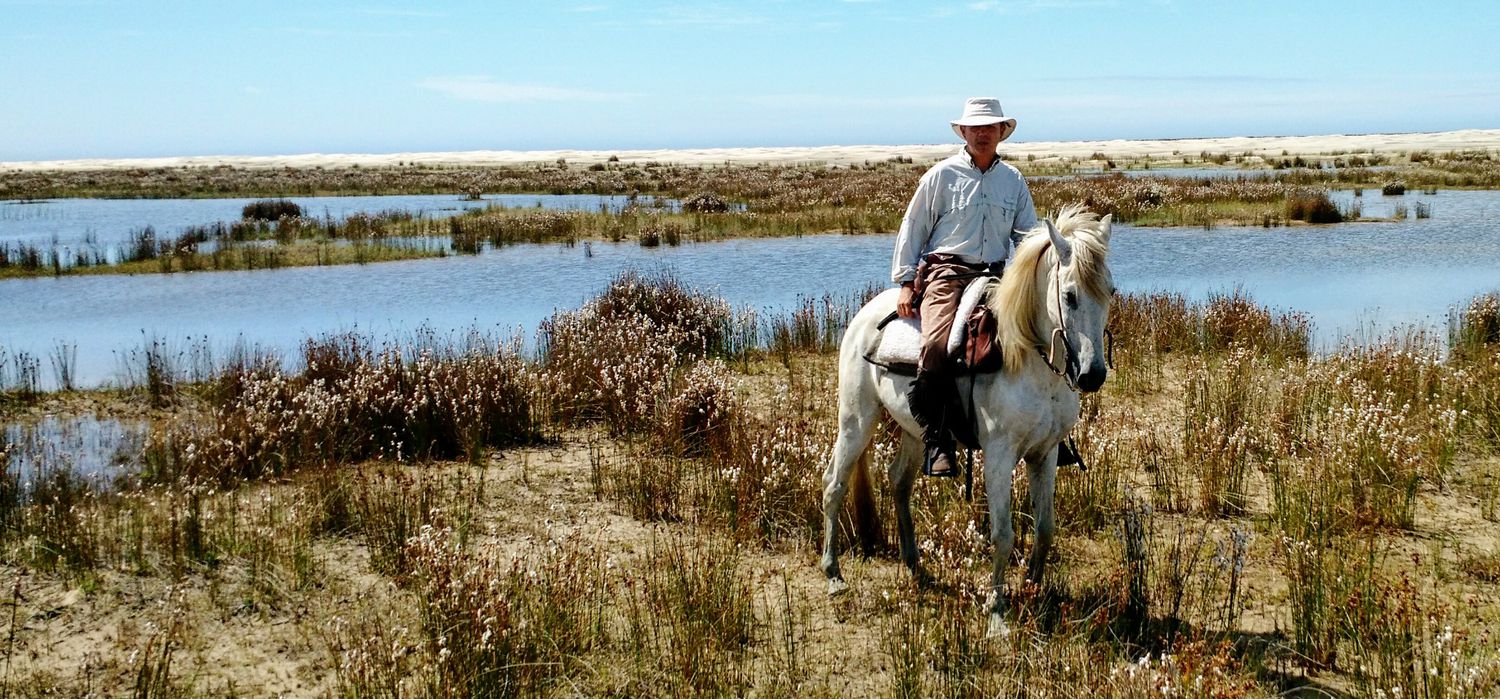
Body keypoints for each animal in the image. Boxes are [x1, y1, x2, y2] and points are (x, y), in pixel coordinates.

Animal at [822, 204, 1116, 639]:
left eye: (1109, 291)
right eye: (1069, 295)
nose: (1092, 375)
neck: (1023, 357)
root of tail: (865, 315)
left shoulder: (1044, 454)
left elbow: (1045, 529)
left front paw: (1034, 591)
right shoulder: (998, 456)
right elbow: (1003, 535)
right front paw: (997, 614)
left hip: (916, 430)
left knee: (899, 482)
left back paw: (914, 565)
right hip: (857, 420)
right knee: (835, 486)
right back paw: (833, 574)